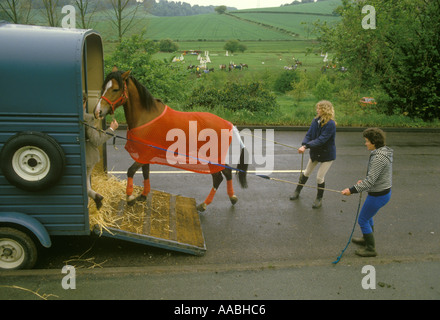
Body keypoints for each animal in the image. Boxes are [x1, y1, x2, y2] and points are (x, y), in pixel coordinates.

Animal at [94, 67, 249, 212]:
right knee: (227, 172)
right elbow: (145, 172)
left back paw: (204, 205)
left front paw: (130, 197)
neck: (146, 116)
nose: (98, 112)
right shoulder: (145, 154)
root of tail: (228, 124)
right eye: (103, 87)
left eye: (115, 89)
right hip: (217, 158)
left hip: (212, 157)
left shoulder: (145, 154)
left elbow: (130, 171)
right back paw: (232, 197)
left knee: (218, 178)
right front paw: (143, 195)